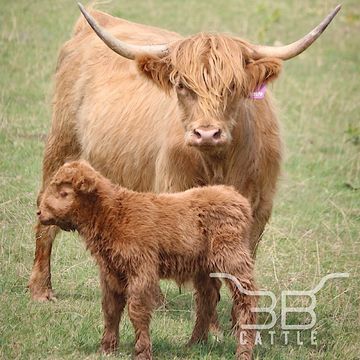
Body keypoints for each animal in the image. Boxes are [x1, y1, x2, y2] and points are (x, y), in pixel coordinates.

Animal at [38, 161, 258, 360]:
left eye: (64, 193)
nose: (39, 212)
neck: (114, 213)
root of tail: (235, 196)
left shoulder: (140, 271)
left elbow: (137, 311)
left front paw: (142, 352)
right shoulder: (111, 272)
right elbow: (110, 309)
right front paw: (107, 349)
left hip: (232, 259)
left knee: (247, 299)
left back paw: (243, 352)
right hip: (203, 269)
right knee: (206, 299)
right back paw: (194, 343)